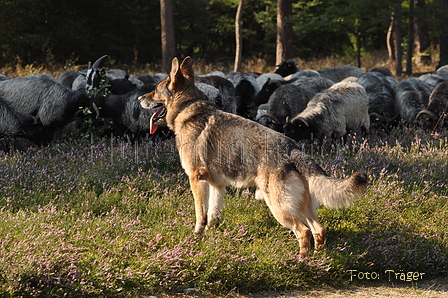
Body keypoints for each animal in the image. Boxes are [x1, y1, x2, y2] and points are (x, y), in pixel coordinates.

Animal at [139, 57, 368, 258]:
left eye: (155, 90)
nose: (139, 99)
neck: (188, 108)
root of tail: (293, 149)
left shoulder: (196, 179)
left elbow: (200, 214)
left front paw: (196, 236)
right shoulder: (216, 184)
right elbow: (212, 214)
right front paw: (210, 236)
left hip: (280, 208)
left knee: (303, 232)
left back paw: (300, 261)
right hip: (301, 207)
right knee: (318, 230)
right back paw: (319, 259)